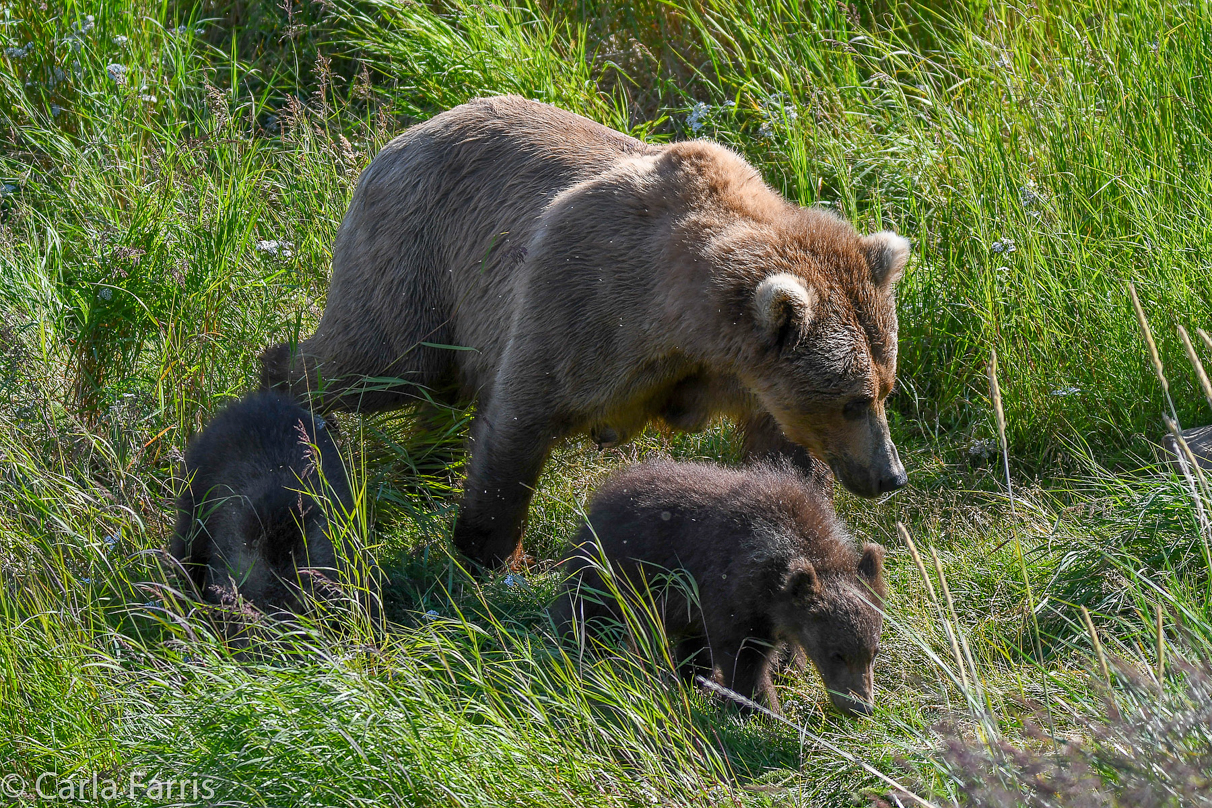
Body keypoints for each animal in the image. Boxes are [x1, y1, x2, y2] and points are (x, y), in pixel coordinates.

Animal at [265, 95, 911, 566]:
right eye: (853, 400)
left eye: (885, 389)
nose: (891, 475)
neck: (685, 329)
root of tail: (400, 139)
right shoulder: (583, 302)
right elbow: (520, 422)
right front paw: (490, 555)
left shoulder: (752, 384)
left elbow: (786, 464)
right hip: (418, 258)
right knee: (379, 362)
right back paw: (285, 407)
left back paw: (422, 467)